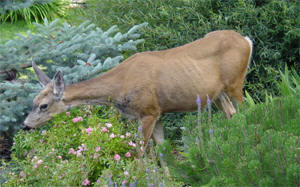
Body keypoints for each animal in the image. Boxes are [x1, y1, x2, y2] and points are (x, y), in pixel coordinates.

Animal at [24, 29, 253, 153]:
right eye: (32, 101)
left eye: (43, 105)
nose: (26, 125)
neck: (119, 86)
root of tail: (246, 40)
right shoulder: (157, 113)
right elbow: (163, 150)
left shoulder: (148, 111)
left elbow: (139, 153)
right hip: (217, 93)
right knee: (232, 113)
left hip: (235, 82)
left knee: (249, 109)